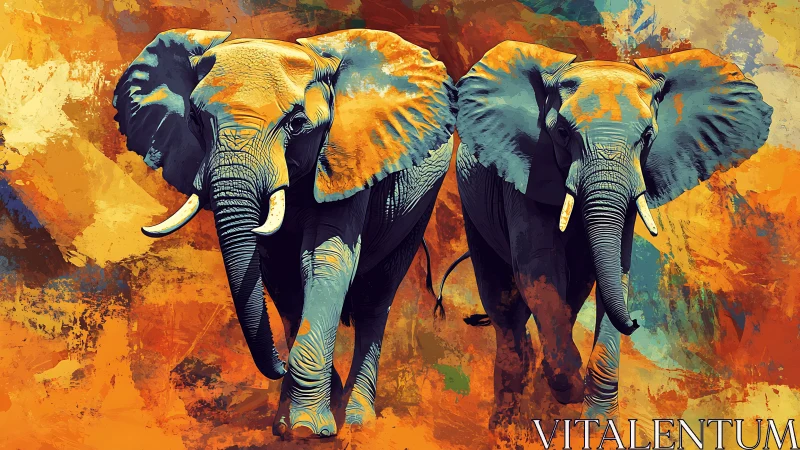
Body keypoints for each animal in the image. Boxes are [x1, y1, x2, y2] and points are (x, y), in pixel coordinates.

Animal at [113, 28, 456, 438]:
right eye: (195, 120)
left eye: (296, 123)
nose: (279, 365)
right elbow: (279, 271)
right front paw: (289, 424)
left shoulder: (345, 158)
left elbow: (325, 259)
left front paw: (309, 430)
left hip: (420, 202)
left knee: (376, 298)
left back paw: (357, 422)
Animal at [443, 41, 772, 427]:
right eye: (563, 134)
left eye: (647, 137)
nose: (635, 321)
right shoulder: (527, 168)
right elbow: (539, 269)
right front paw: (568, 388)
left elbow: (616, 273)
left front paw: (598, 421)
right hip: (472, 202)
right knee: (505, 307)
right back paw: (506, 426)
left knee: (572, 292)